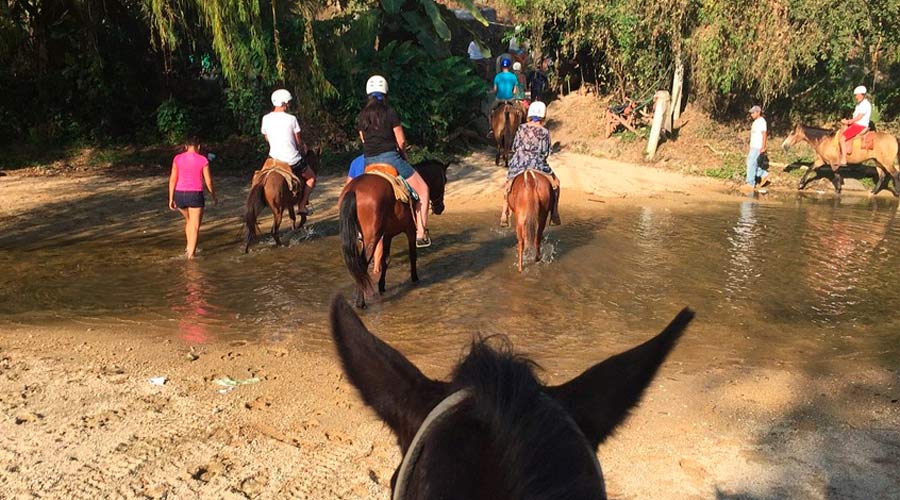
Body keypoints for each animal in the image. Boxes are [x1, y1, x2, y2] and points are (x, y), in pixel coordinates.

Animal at [338, 160, 450, 308]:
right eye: (445, 180)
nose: (440, 208)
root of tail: (354, 189)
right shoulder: (410, 230)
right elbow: (412, 255)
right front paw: (415, 279)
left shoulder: (388, 235)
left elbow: (385, 260)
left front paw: (382, 286)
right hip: (372, 238)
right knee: (362, 264)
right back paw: (360, 302)